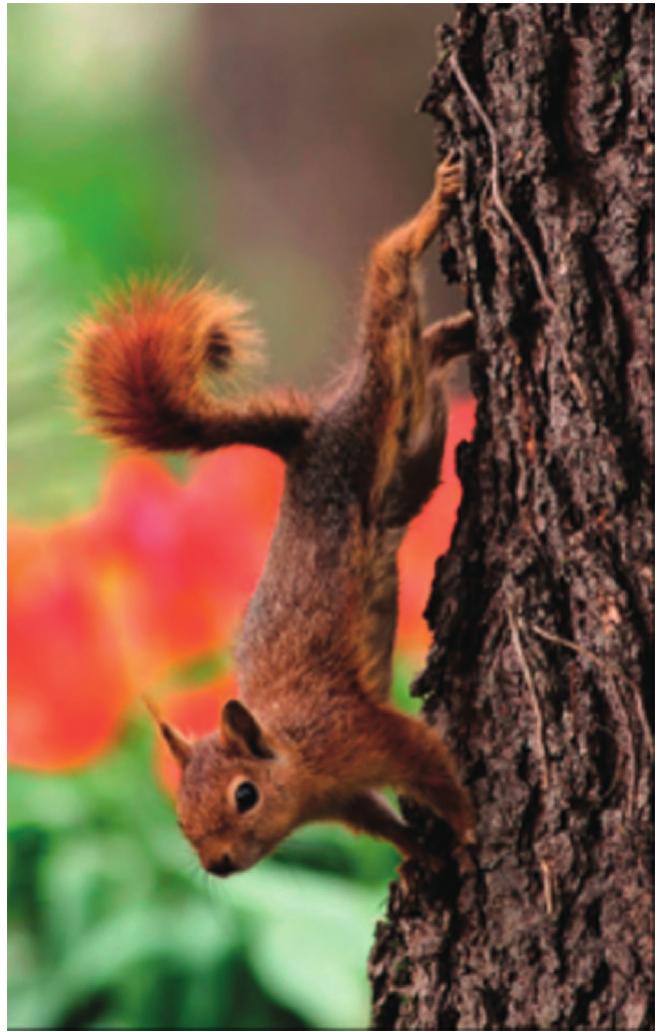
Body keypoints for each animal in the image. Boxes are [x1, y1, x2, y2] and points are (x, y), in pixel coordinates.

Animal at [70, 155, 476, 878]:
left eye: (245, 795)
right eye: (181, 818)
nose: (217, 865)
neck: (298, 758)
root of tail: (307, 440)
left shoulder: (363, 731)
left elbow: (430, 761)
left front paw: (469, 828)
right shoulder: (348, 798)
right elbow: (382, 823)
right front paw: (419, 855)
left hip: (375, 416)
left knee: (389, 286)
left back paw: (434, 212)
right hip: (411, 461)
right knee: (421, 354)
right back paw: (459, 332)